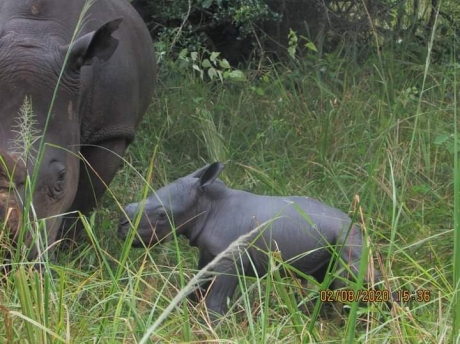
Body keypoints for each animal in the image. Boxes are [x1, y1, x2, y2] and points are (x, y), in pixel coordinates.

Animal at [0, 0, 156, 260]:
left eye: (61, 178)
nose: (8, 255)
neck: (34, 30)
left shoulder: (111, 129)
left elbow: (86, 195)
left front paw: (66, 252)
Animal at [117, 164, 388, 320]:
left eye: (162, 215)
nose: (122, 226)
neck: (206, 204)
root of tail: (355, 222)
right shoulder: (209, 255)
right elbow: (197, 288)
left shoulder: (230, 261)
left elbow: (216, 300)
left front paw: (216, 326)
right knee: (329, 278)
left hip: (347, 237)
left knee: (357, 274)